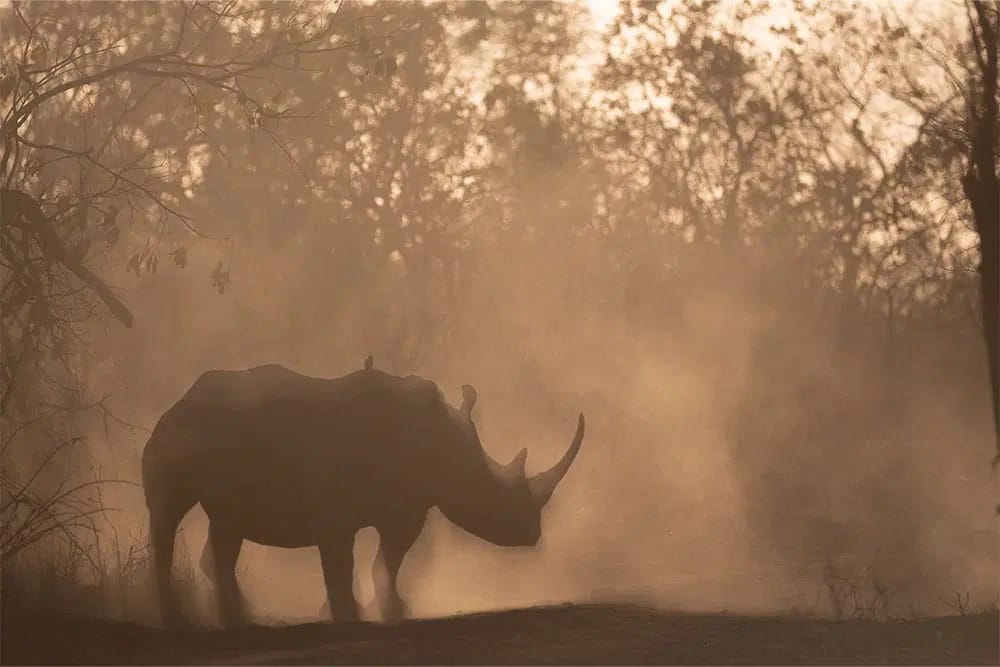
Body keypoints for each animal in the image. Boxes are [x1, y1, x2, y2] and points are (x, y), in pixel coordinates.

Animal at [141, 360, 585, 627]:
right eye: (493, 491)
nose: (532, 533)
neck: (446, 445)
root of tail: (177, 401)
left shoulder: (403, 508)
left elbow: (385, 561)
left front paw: (388, 610)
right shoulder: (338, 511)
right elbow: (348, 563)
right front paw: (350, 615)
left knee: (226, 527)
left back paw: (239, 616)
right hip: (174, 434)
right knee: (169, 514)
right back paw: (178, 619)